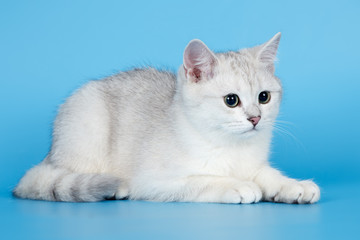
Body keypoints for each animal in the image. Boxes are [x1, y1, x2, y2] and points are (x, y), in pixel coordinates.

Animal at [12, 32, 320, 203]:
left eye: (264, 97)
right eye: (231, 100)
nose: (255, 119)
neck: (229, 146)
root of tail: (51, 154)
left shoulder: (254, 165)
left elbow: (268, 175)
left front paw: (293, 186)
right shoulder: (154, 182)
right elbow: (204, 180)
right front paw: (237, 185)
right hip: (88, 125)